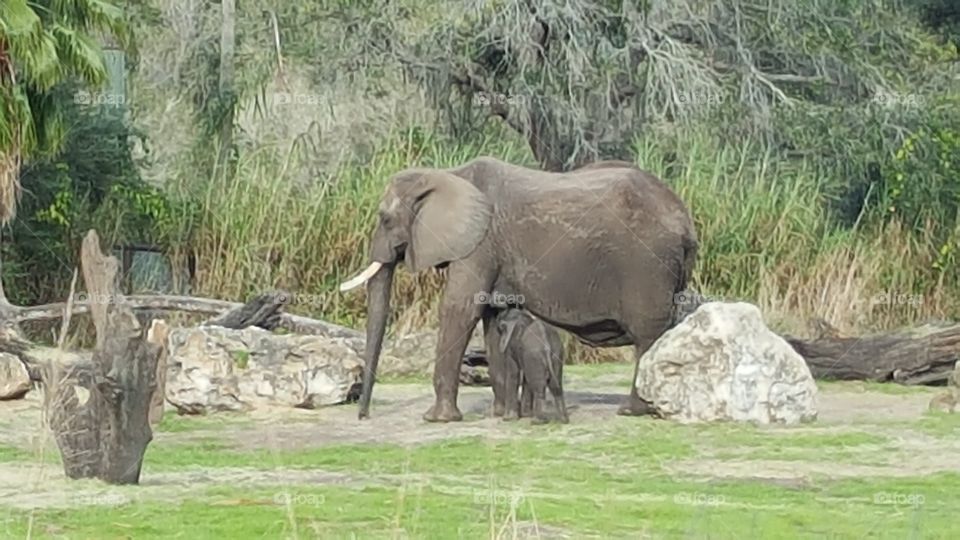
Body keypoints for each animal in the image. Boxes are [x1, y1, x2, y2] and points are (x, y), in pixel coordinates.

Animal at [340, 156, 696, 422]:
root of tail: (685, 220)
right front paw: (500, 415)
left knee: (647, 335)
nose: (363, 415)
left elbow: (460, 308)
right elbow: (491, 318)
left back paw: (632, 411)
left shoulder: (479, 245)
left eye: (385, 219)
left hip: (647, 266)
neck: (447, 174)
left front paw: (437, 419)